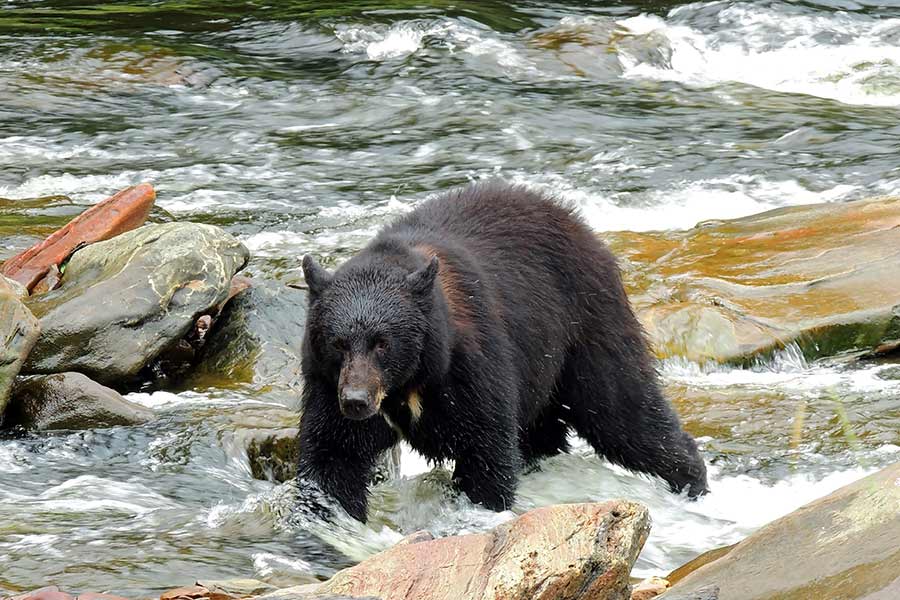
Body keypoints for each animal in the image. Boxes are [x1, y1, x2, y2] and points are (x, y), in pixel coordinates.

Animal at [298, 182, 708, 520]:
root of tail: (581, 225)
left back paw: (692, 480)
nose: (356, 400)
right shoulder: (327, 384)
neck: (409, 384)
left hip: (586, 325)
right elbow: (333, 458)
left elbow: (485, 450)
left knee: (622, 410)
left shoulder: (470, 365)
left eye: (382, 343)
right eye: (337, 343)